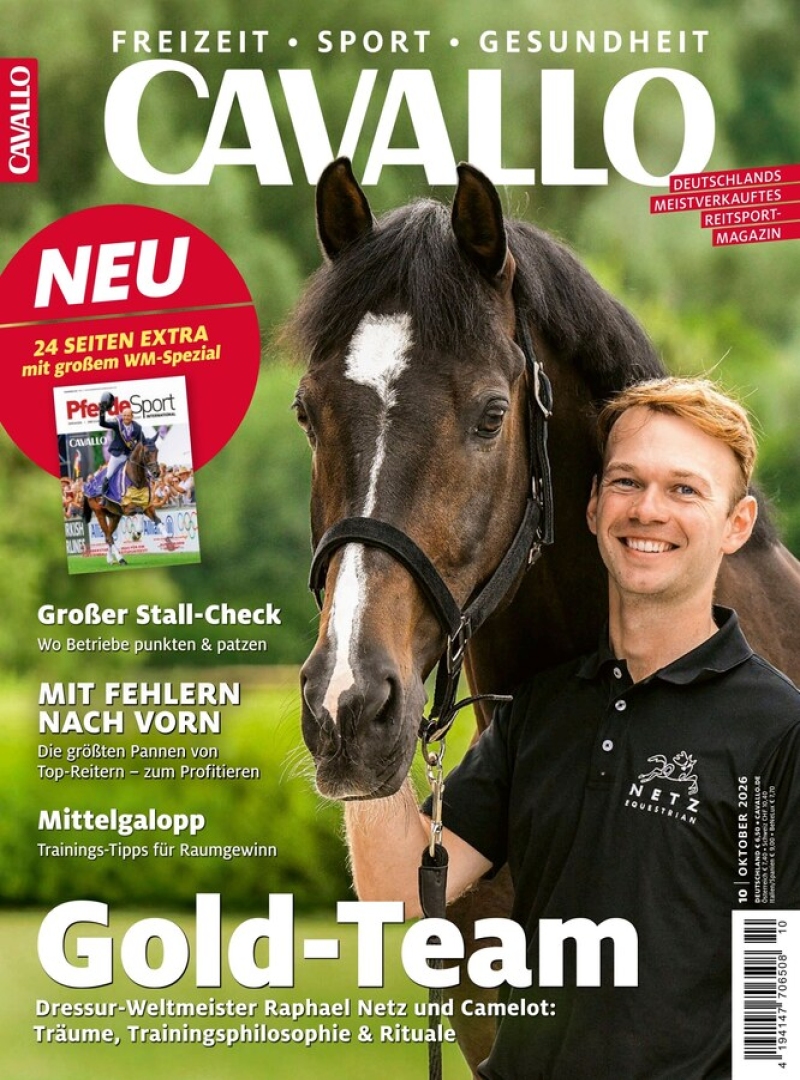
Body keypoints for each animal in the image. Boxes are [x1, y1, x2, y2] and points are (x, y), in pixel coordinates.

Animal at [82, 437, 162, 566]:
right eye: (146, 453)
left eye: (157, 451)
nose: (156, 472)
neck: (137, 481)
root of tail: (88, 482)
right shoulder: (127, 507)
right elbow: (139, 512)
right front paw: (136, 534)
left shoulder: (147, 507)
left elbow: (157, 520)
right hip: (99, 513)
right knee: (109, 537)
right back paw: (120, 559)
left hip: (115, 516)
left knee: (108, 535)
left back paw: (110, 559)